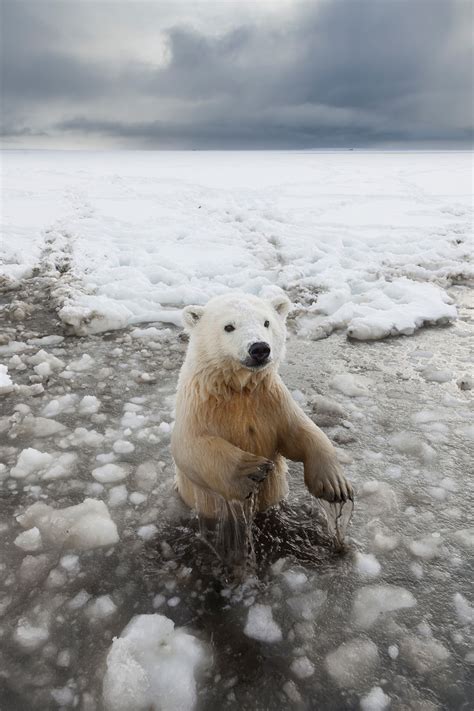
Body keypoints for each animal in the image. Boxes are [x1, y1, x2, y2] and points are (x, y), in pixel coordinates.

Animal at [170, 292, 352, 520]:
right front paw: (252, 471)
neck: (239, 389)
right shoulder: (200, 405)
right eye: (229, 326)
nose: (259, 349)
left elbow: (301, 430)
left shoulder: (271, 400)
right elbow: (190, 445)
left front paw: (334, 484)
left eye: (266, 322)